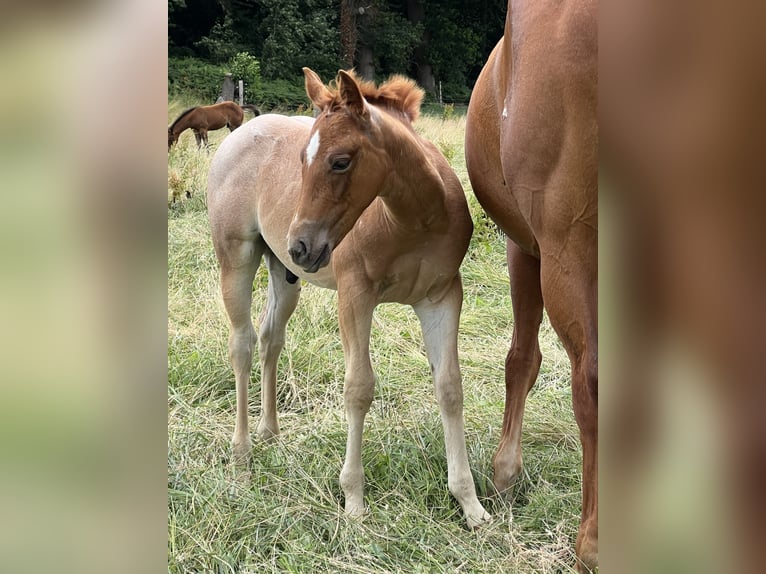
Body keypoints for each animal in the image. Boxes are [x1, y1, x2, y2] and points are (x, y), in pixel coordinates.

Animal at [207, 68, 491, 530]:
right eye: (301, 160)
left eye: (340, 161)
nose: (301, 245)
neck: (413, 220)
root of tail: (242, 131)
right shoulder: (355, 296)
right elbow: (358, 387)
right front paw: (354, 499)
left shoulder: (442, 296)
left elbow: (449, 386)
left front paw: (470, 504)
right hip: (236, 258)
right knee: (242, 345)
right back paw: (242, 456)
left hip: (284, 274)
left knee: (270, 339)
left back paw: (270, 432)